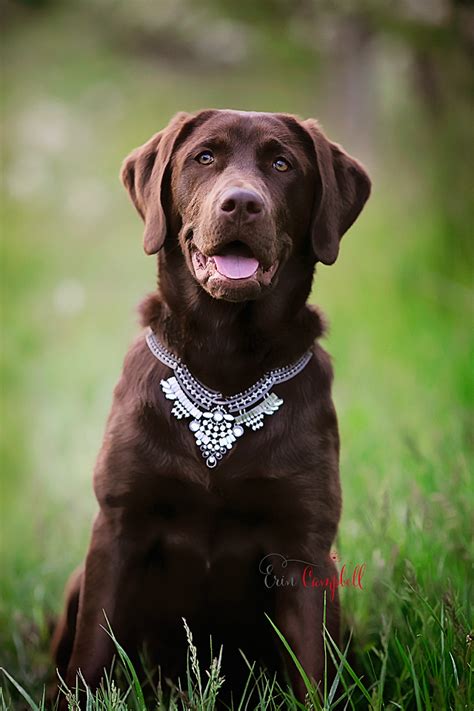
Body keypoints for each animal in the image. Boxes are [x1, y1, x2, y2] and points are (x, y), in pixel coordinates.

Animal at [51, 108, 370, 704]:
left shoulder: (304, 549)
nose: (242, 203)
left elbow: (311, 672)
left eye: (281, 163)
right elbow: (91, 652)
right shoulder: (118, 527)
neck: (224, 366)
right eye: (204, 157)